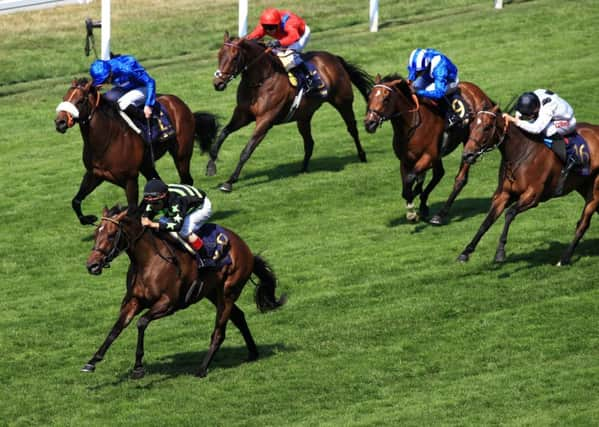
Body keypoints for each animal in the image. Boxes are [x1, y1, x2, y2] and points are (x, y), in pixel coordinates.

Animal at [55, 80, 219, 227]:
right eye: (64, 98)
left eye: (81, 100)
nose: (60, 122)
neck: (107, 138)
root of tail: (179, 103)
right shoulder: (95, 174)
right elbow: (76, 201)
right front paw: (89, 218)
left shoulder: (130, 179)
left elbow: (132, 209)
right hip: (147, 165)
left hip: (181, 154)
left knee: (186, 180)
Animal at [83, 206, 288, 378]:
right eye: (95, 233)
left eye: (111, 235)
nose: (92, 265)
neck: (148, 261)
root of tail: (246, 250)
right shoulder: (134, 300)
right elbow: (116, 328)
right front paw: (92, 361)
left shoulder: (169, 304)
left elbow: (141, 323)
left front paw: (138, 367)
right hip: (212, 292)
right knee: (238, 316)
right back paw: (253, 352)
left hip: (228, 292)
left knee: (219, 332)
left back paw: (202, 368)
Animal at [209, 32, 372, 193]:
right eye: (219, 55)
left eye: (235, 57)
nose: (218, 84)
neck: (261, 81)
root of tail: (334, 58)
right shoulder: (242, 115)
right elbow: (223, 133)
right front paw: (211, 165)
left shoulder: (265, 120)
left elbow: (246, 150)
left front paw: (229, 182)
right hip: (304, 116)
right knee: (309, 142)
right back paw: (303, 169)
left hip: (343, 103)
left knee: (352, 129)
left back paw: (362, 155)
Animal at [366, 75, 496, 226]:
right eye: (369, 97)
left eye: (386, 99)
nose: (369, 123)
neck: (412, 124)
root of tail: (478, 91)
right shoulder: (406, 160)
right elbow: (407, 184)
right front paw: (414, 206)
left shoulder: (428, 156)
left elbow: (410, 179)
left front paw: (413, 209)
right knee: (439, 173)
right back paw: (423, 205)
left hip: (470, 145)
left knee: (460, 179)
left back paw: (439, 214)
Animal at [460, 105, 599, 266]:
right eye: (471, 126)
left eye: (487, 127)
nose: (467, 155)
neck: (520, 151)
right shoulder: (504, 195)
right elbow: (486, 222)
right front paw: (465, 252)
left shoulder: (532, 196)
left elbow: (509, 214)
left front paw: (500, 252)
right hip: (583, 186)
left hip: (595, 191)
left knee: (583, 223)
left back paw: (564, 258)